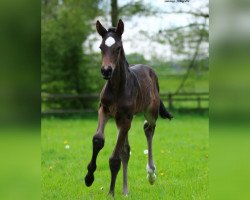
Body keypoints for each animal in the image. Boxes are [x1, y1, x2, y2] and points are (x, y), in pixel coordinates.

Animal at [84, 19, 172, 197]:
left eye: (118, 48)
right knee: (126, 150)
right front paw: (89, 177)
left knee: (149, 129)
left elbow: (114, 158)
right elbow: (98, 140)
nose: (106, 71)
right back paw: (125, 190)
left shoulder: (126, 118)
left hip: (149, 113)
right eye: (101, 47)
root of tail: (150, 70)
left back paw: (151, 174)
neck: (117, 88)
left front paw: (111, 192)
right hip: (120, 120)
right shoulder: (104, 110)